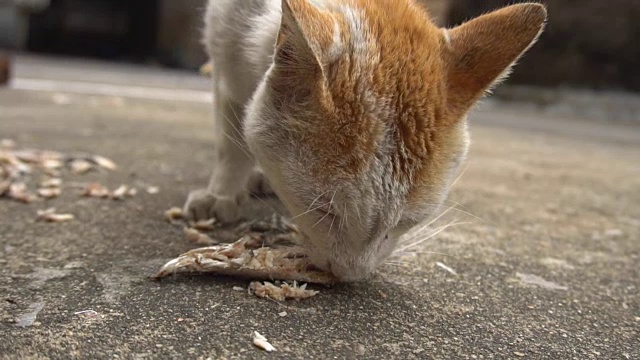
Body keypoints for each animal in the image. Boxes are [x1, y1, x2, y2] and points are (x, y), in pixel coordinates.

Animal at [184, 0, 544, 282]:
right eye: (326, 212)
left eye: (405, 222)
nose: (350, 275)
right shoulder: (226, 52)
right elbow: (232, 143)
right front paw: (221, 192)